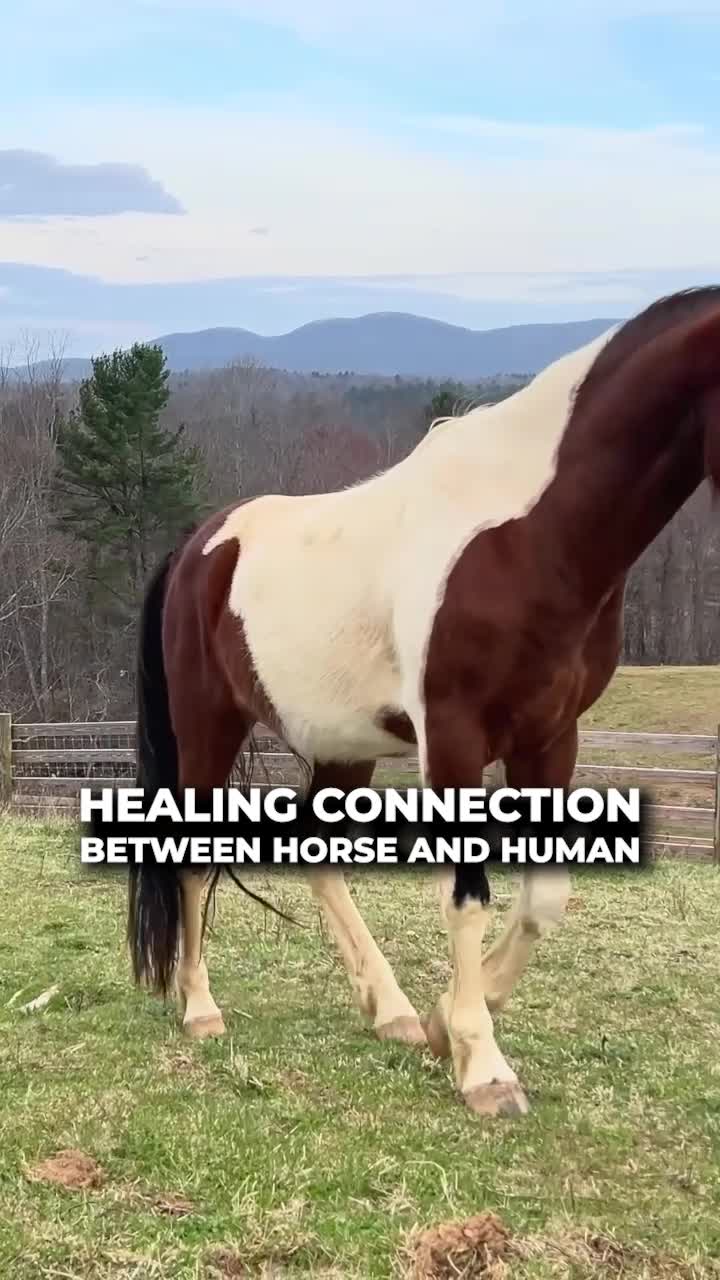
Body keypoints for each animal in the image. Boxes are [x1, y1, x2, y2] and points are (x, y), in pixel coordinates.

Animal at [128, 285, 720, 1119]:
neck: (528, 535)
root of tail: (197, 546)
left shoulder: (550, 737)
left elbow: (546, 896)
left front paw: (446, 1023)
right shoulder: (455, 737)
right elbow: (466, 895)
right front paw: (483, 1066)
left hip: (342, 745)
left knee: (318, 856)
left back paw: (395, 1011)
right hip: (209, 725)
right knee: (186, 853)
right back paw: (202, 1010)